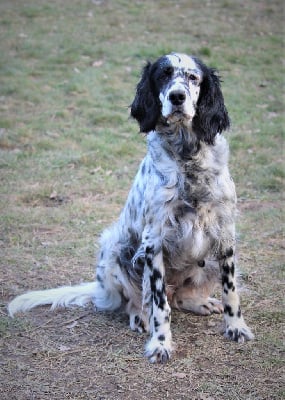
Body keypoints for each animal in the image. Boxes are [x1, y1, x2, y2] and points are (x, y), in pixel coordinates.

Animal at [8, 52, 253, 362]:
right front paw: (160, 343)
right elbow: (160, 305)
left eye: (193, 78)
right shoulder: (154, 240)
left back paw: (200, 302)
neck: (187, 156)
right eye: (163, 75)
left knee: (181, 296)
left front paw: (236, 327)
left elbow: (231, 291)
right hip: (114, 247)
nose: (176, 96)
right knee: (139, 301)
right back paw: (140, 317)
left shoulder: (225, 233)